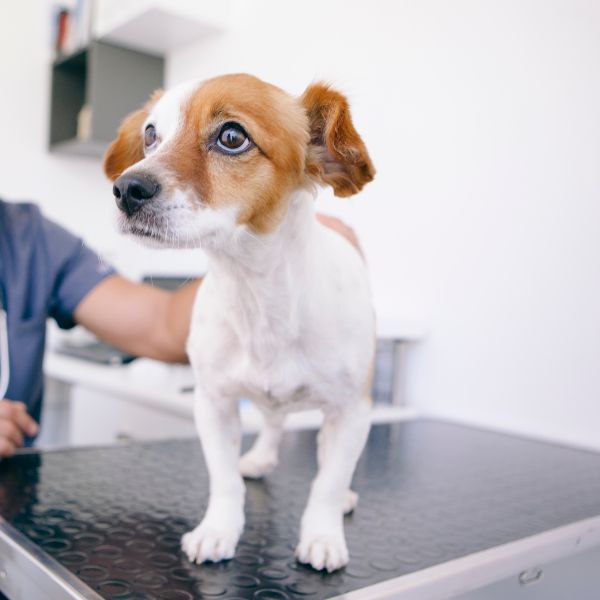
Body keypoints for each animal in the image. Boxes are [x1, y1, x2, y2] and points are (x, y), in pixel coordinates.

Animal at [103, 75, 376, 572]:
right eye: (151, 135)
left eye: (232, 137)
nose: (126, 187)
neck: (257, 293)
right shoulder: (214, 403)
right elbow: (224, 480)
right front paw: (218, 531)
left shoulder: (352, 412)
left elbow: (325, 485)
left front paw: (323, 535)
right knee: (273, 421)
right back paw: (261, 457)